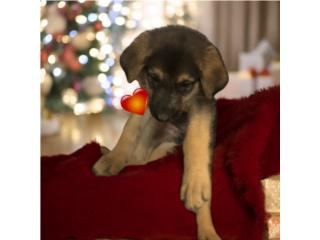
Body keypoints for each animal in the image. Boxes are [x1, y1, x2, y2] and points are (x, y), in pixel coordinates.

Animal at [91, 25, 229, 239]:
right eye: (154, 77)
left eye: (185, 84)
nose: (162, 117)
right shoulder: (147, 100)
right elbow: (130, 129)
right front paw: (113, 159)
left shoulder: (202, 105)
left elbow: (196, 138)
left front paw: (195, 184)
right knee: (141, 159)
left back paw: (207, 229)